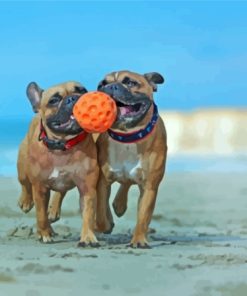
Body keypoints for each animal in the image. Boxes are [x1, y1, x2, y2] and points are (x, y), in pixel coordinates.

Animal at [17, 80, 99, 246]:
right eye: (54, 100)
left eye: (82, 91)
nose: (73, 98)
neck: (63, 144)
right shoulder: (40, 188)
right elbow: (40, 214)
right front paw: (44, 234)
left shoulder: (87, 187)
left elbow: (88, 212)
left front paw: (88, 237)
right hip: (22, 166)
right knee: (25, 184)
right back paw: (26, 202)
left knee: (60, 191)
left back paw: (53, 210)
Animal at [95, 70, 167, 247]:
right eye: (101, 85)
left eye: (130, 83)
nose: (111, 87)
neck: (127, 136)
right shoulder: (102, 181)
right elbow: (101, 213)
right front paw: (105, 224)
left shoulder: (149, 186)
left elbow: (143, 216)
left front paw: (139, 240)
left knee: (126, 182)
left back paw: (119, 204)